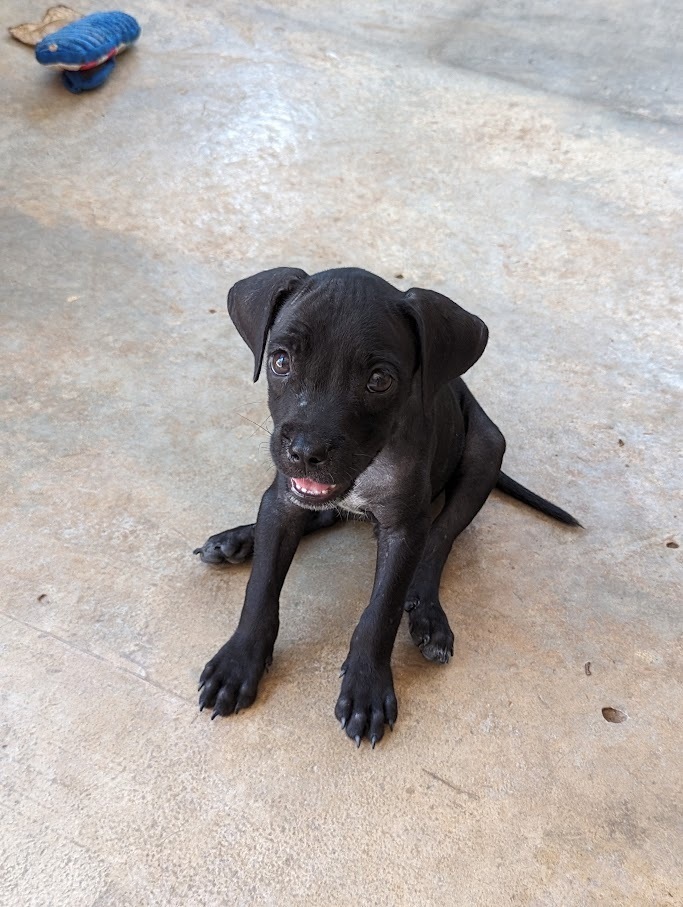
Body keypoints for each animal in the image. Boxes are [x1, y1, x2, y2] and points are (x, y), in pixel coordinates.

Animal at [195, 268, 580, 744]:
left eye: (379, 380)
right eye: (280, 361)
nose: (305, 451)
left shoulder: (403, 529)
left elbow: (382, 611)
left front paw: (367, 687)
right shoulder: (283, 501)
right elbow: (261, 588)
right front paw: (239, 661)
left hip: (486, 451)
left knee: (439, 538)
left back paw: (428, 613)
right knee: (325, 514)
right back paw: (236, 541)